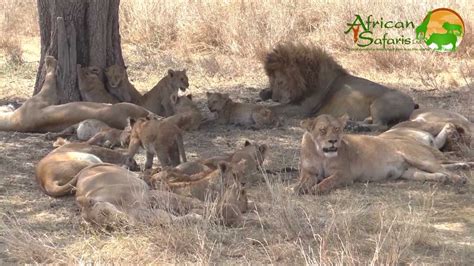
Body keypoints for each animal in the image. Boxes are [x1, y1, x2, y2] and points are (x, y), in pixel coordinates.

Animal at [262, 42, 416, 129]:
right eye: (271, 81)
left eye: (280, 82)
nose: (275, 98)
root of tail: (413, 103)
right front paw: (264, 94)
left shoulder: (304, 108)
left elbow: (274, 108)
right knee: (371, 121)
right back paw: (353, 124)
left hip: (379, 104)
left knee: (381, 126)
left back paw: (357, 128)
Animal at [296, 113, 466, 194]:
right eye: (323, 130)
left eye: (337, 129)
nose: (333, 141)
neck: (321, 155)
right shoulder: (308, 172)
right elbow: (304, 181)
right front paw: (299, 188)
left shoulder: (344, 174)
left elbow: (327, 181)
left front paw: (315, 189)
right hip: (410, 172)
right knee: (433, 173)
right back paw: (442, 178)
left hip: (421, 159)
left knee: (443, 167)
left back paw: (459, 179)